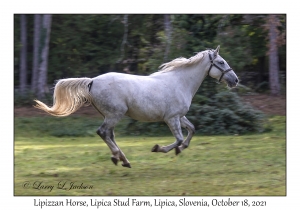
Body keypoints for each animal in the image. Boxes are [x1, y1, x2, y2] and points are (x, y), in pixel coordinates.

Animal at [34, 45, 238, 167]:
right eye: (221, 62)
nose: (235, 80)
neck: (180, 82)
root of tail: (92, 81)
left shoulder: (179, 116)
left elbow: (192, 130)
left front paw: (180, 149)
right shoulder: (171, 118)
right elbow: (179, 139)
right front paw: (159, 148)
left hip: (110, 115)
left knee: (109, 135)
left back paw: (123, 159)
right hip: (114, 114)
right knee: (102, 132)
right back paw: (119, 158)